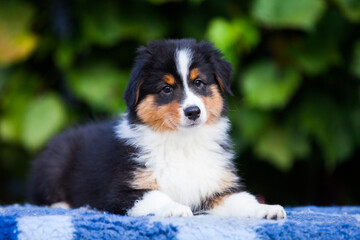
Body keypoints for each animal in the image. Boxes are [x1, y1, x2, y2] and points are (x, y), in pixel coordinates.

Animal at [28, 39, 286, 219]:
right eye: (166, 89)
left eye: (199, 82)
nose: (193, 111)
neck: (182, 142)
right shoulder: (123, 191)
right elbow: (157, 195)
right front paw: (176, 208)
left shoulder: (216, 187)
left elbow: (242, 199)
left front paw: (267, 209)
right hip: (54, 162)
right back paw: (63, 205)